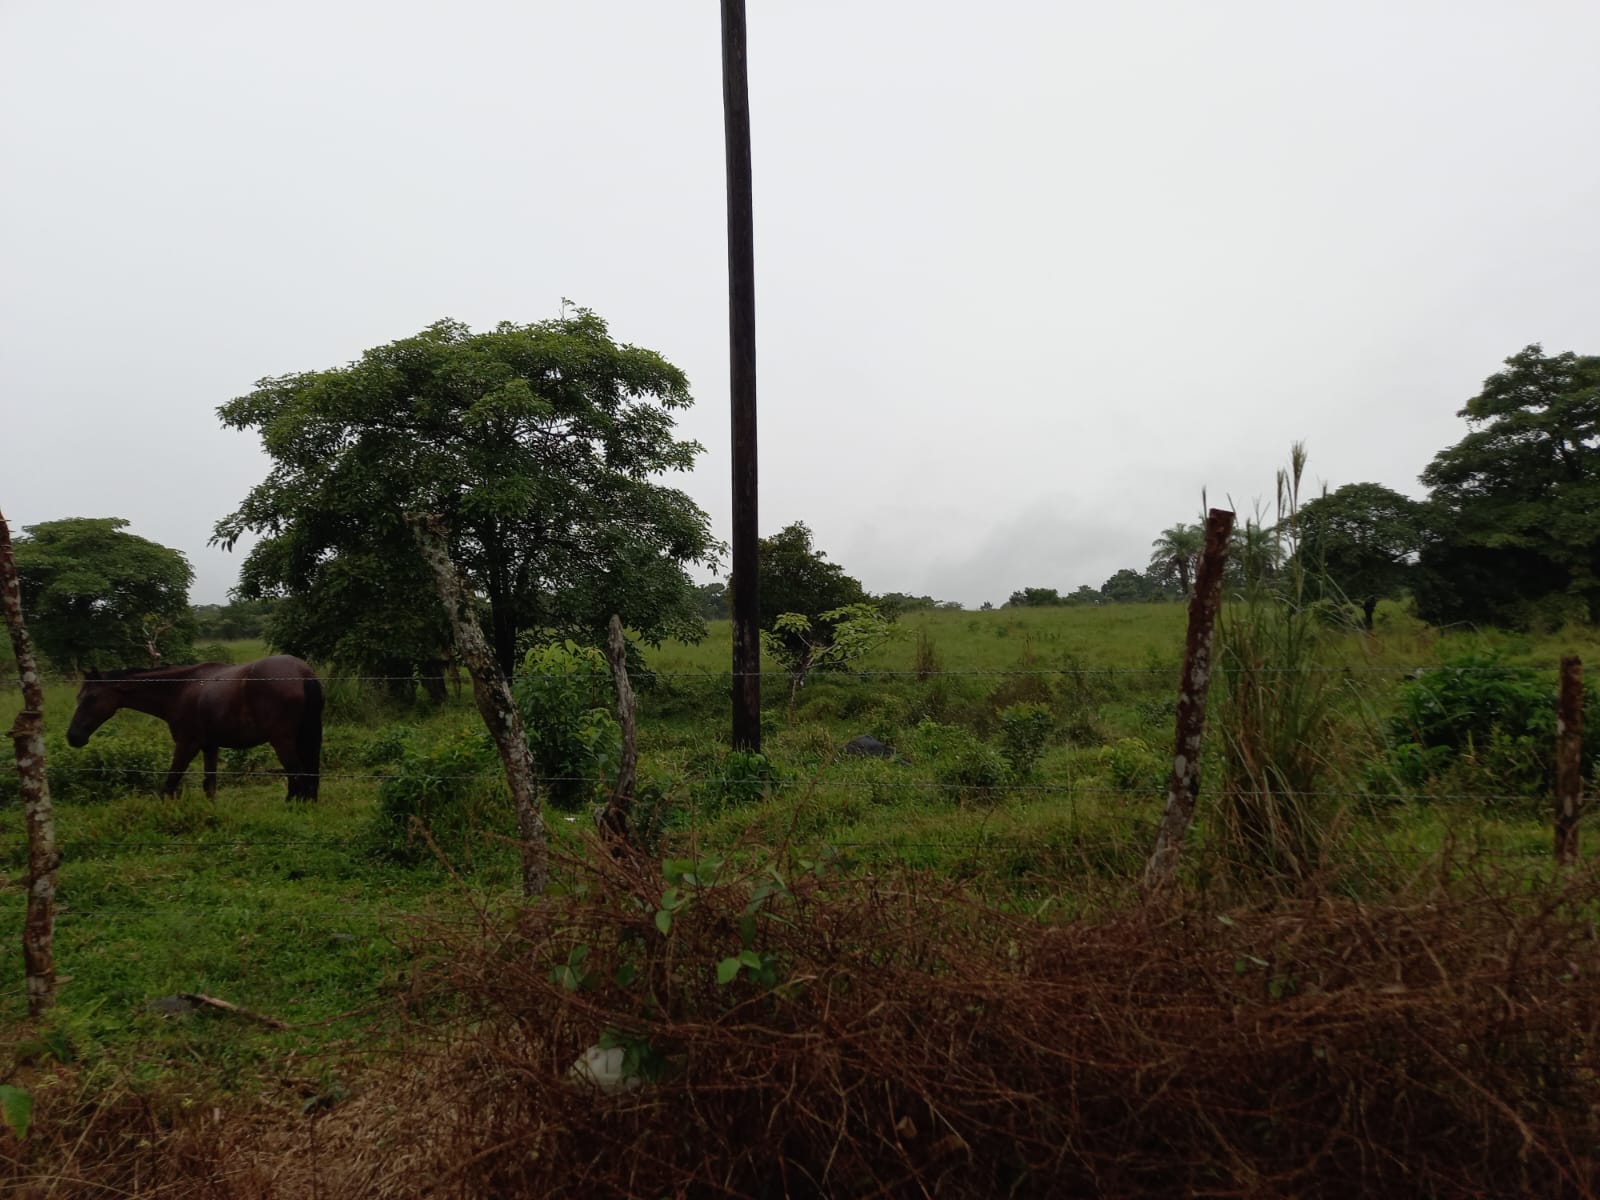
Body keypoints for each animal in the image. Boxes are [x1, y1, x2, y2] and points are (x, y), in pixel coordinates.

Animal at [66, 652, 321, 803]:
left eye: (91, 698)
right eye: (78, 697)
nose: (73, 737)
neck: (180, 688)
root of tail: (303, 672)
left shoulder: (186, 744)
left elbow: (170, 783)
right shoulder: (210, 747)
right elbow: (209, 786)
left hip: (282, 741)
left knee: (300, 777)